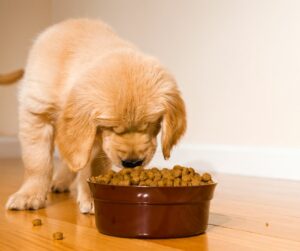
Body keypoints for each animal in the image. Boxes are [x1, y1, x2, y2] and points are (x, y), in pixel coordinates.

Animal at [5, 18, 185, 214]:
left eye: (151, 124)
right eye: (111, 127)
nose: (132, 163)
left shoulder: (95, 139)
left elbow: (92, 165)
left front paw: (92, 195)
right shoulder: (36, 112)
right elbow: (37, 161)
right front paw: (29, 195)